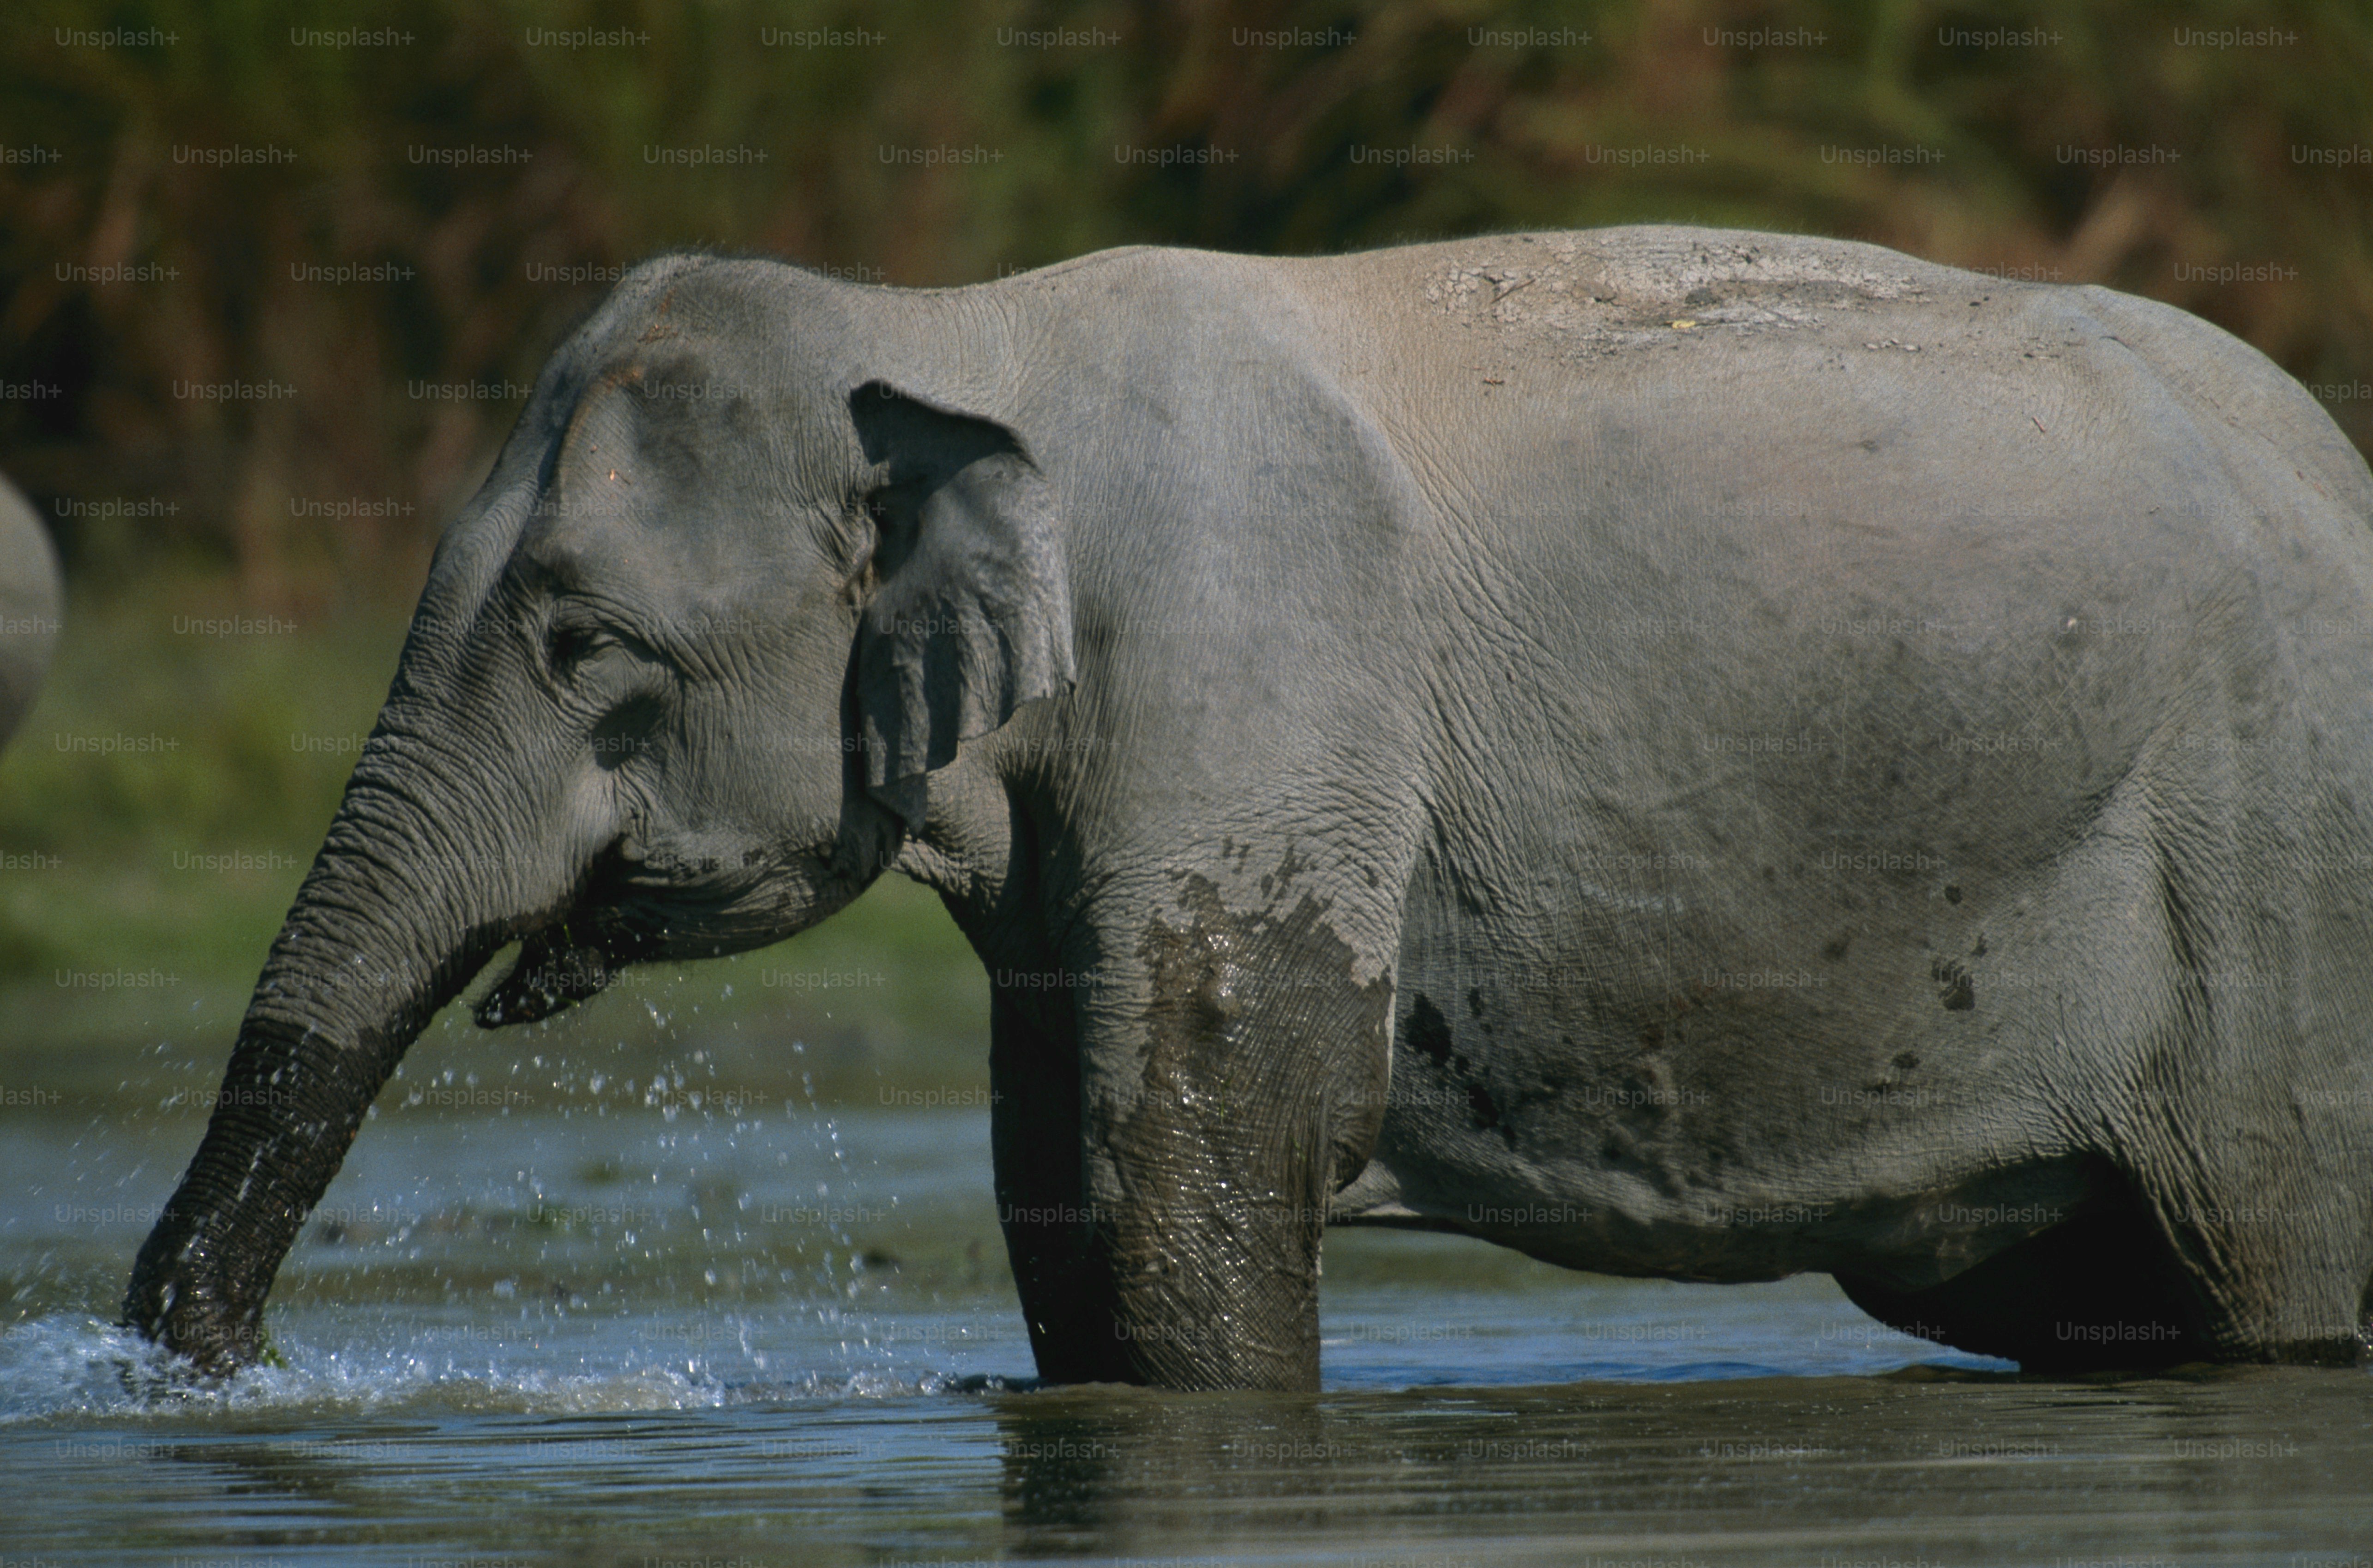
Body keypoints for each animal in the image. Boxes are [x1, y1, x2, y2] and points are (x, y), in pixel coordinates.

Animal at [124, 225, 2373, 1390]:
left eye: (587, 643)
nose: (192, 1353)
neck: (951, 325)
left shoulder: (1249, 676)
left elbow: (1199, 1163)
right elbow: (1060, 1186)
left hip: (2280, 860)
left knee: (2272, 1259)